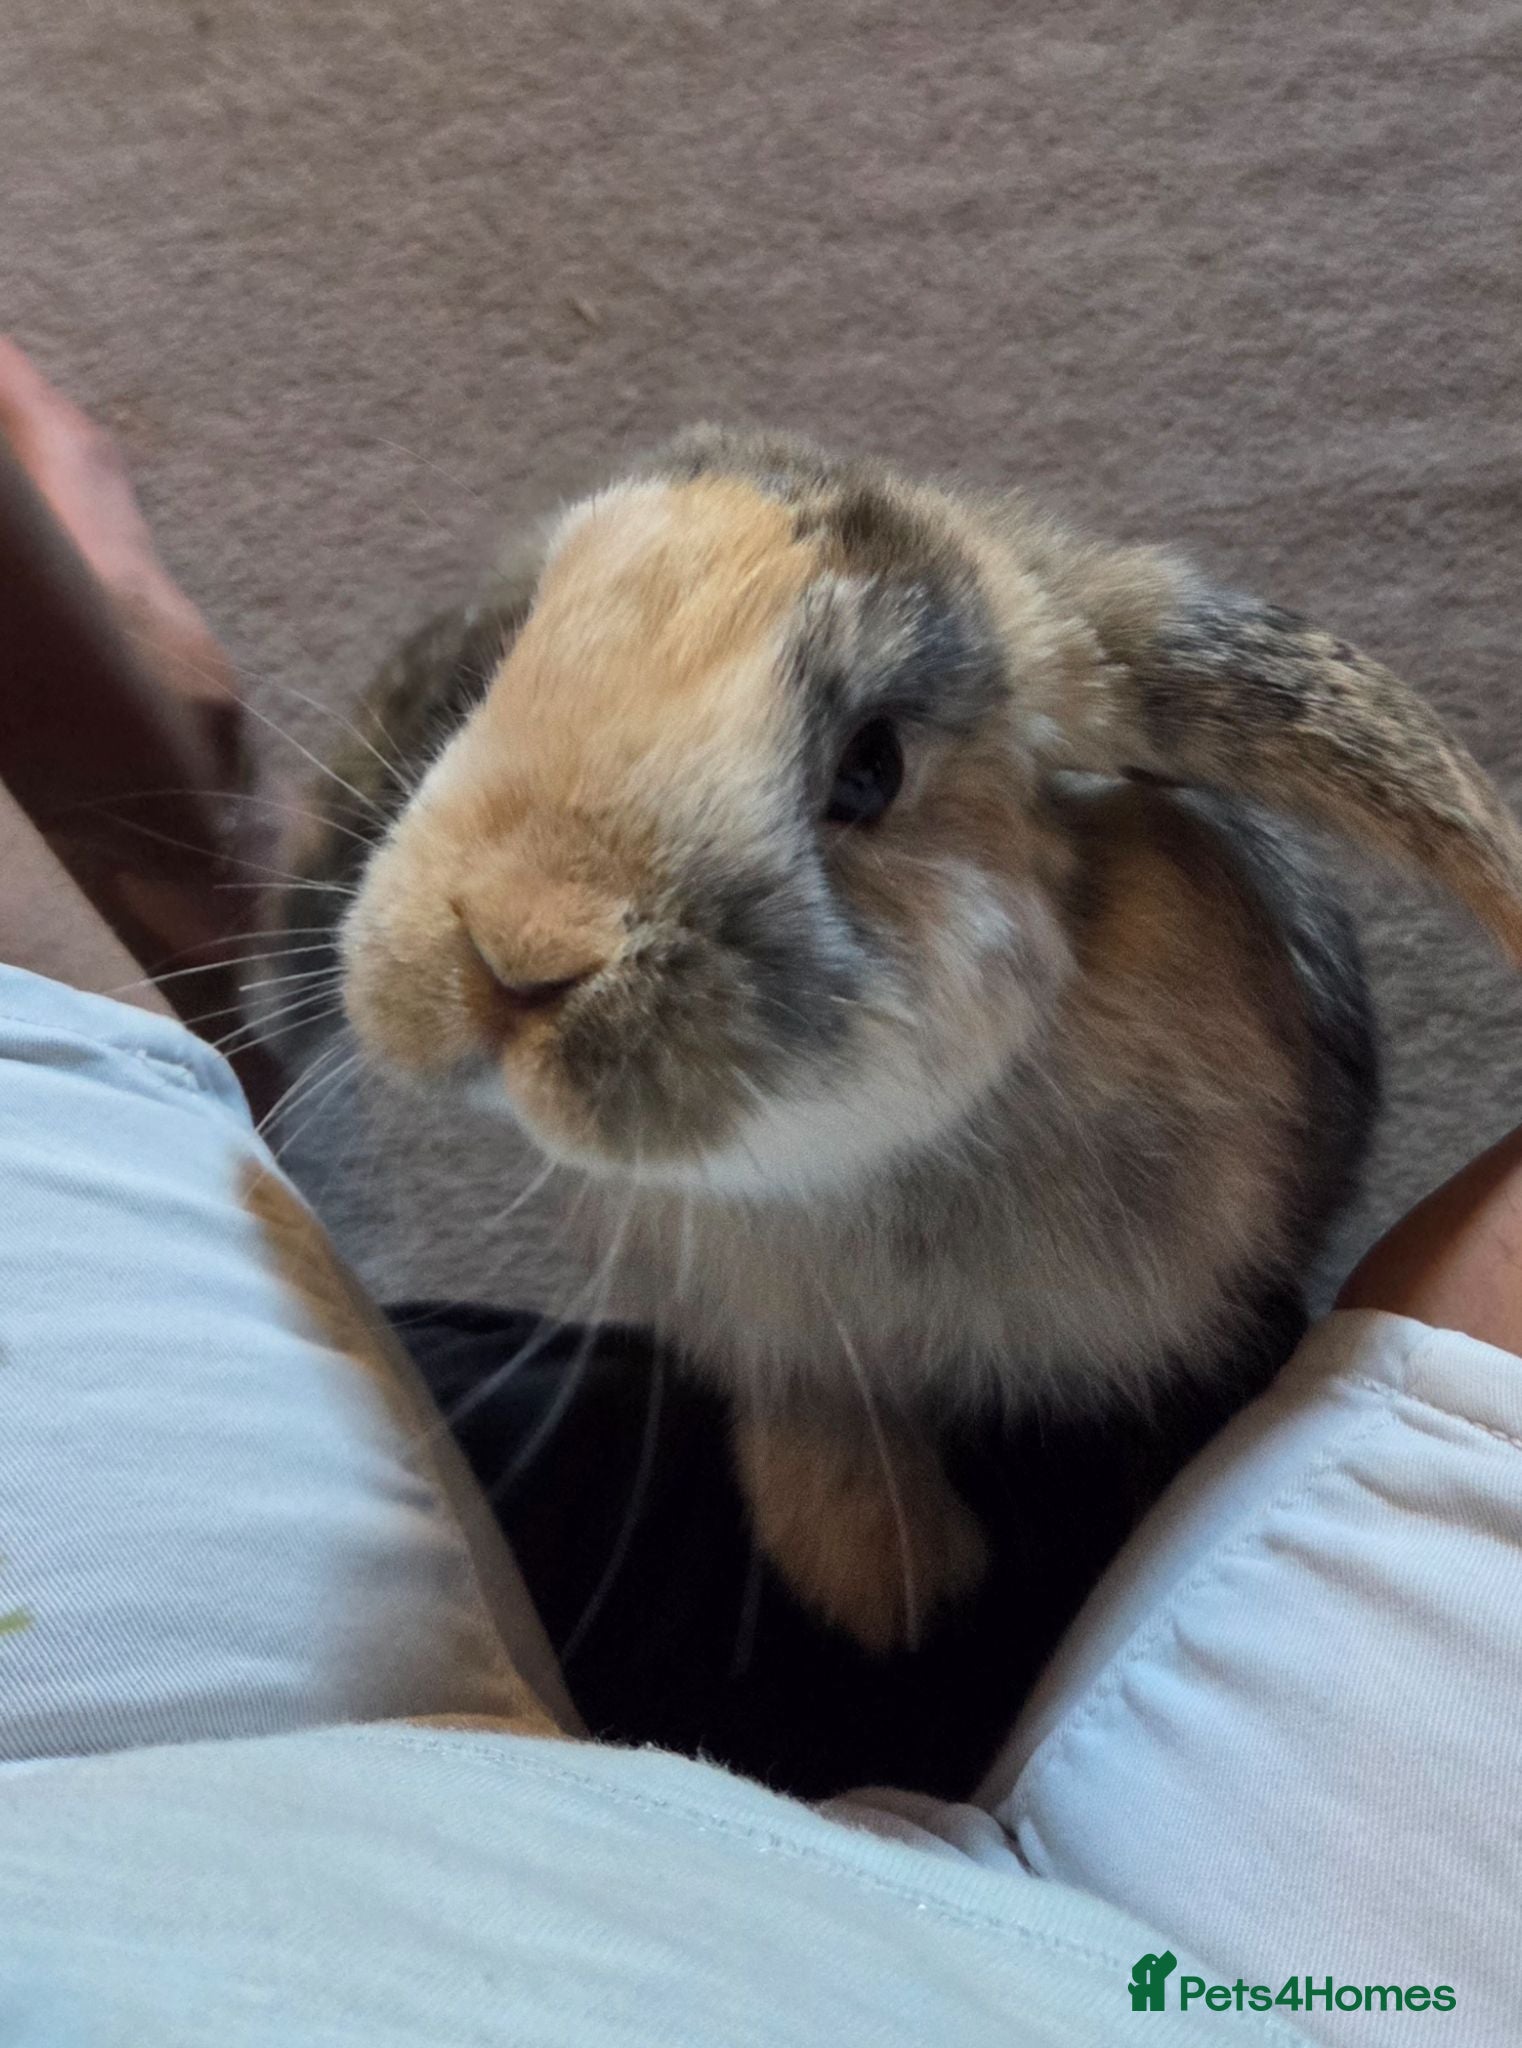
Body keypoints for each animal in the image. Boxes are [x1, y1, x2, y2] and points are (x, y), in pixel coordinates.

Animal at [276, 424, 1522, 1655]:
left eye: (869, 768)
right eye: (498, 673)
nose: (509, 950)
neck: (842, 1169)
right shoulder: (776, 1343)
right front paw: (880, 1581)